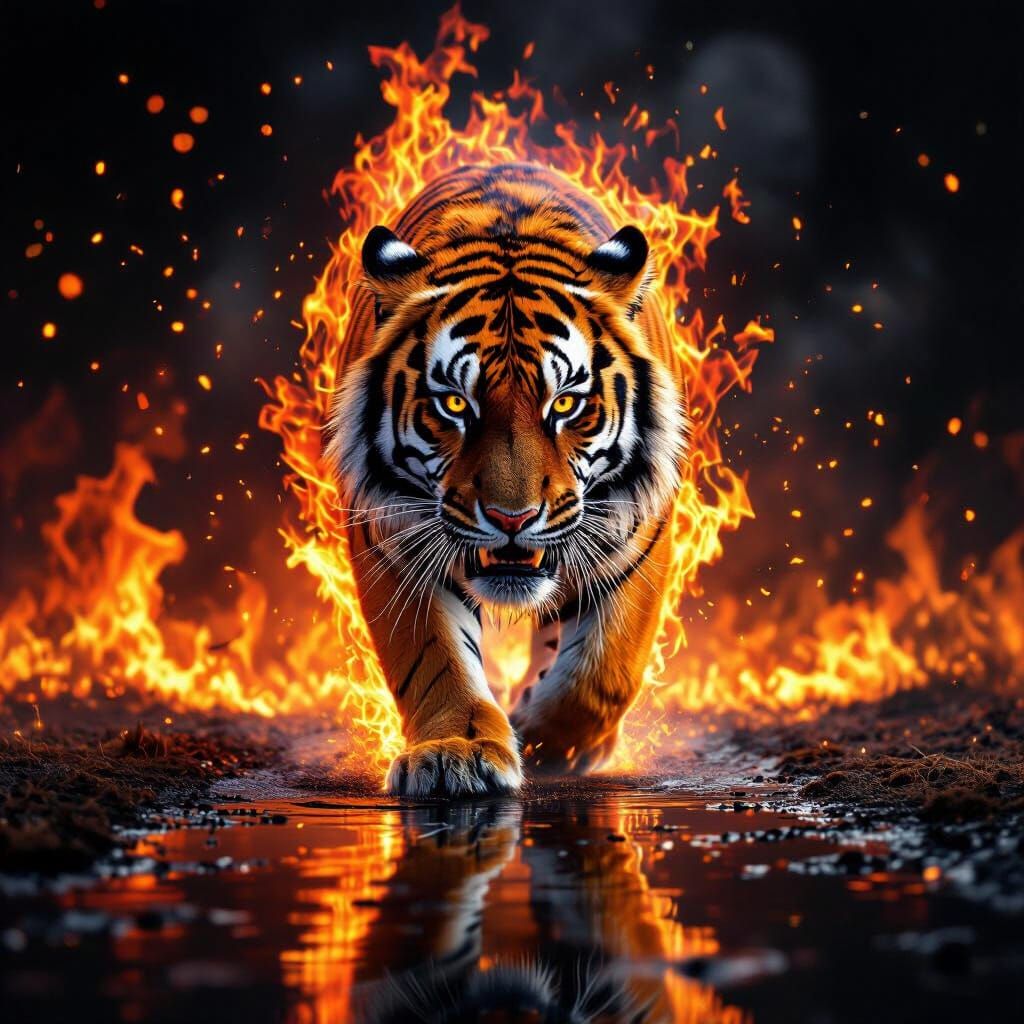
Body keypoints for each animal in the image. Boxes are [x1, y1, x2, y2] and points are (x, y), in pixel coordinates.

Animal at [328, 163, 687, 797]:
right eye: (454, 403)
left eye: (565, 403)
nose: (511, 519)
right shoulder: (392, 539)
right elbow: (436, 660)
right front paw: (457, 753)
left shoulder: (638, 537)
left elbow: (601, 672)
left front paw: (552, 744)